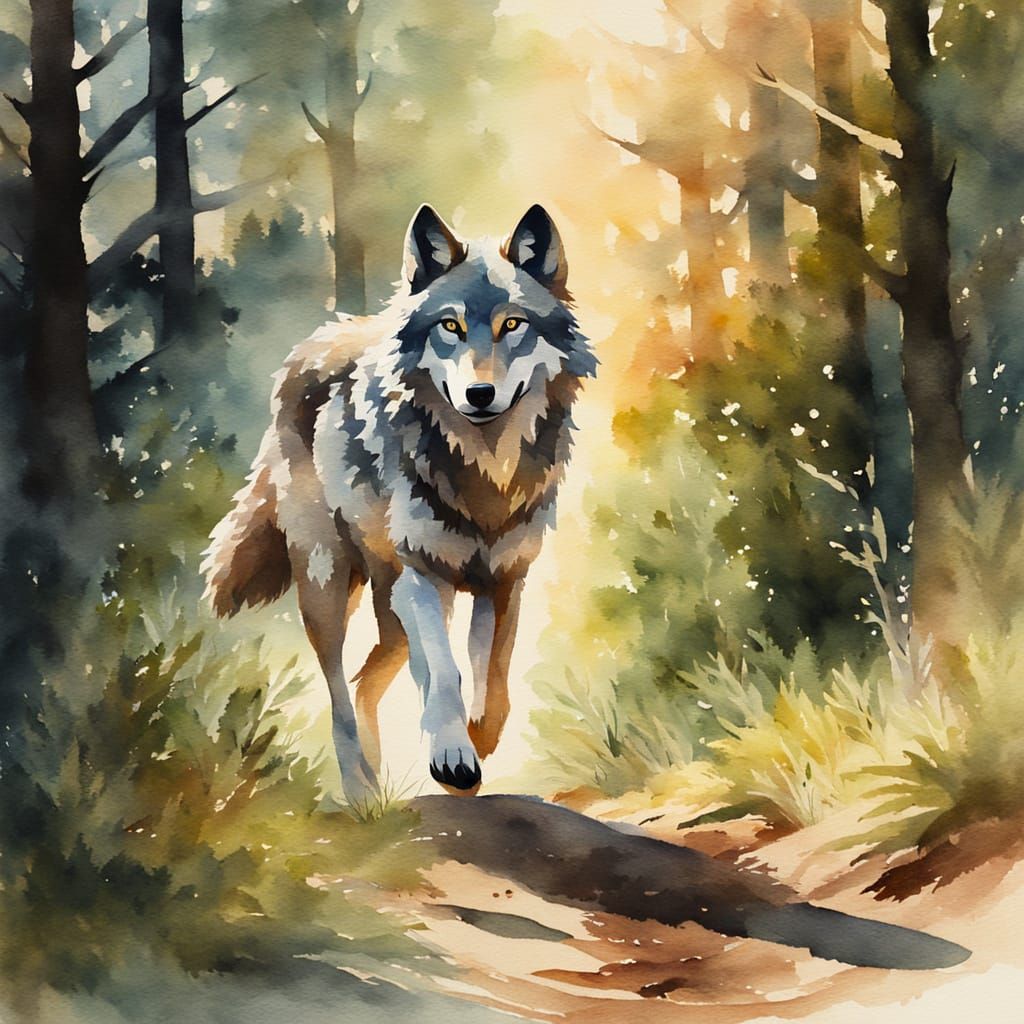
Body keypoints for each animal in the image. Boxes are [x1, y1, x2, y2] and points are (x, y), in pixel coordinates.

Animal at [202, 204, 595, 804]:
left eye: (513, 325)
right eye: (451, 327)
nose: (479, 395)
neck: (483, 473)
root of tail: (312, 345)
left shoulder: (503, 580)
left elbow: (494, 675)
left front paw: (476, 741)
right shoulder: (424, 576)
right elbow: (445, 672)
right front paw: (451, 754)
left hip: (388, 606)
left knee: (367, 681)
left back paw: (381, 780)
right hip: (330, 585)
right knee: (339, 691)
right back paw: (360, 792)